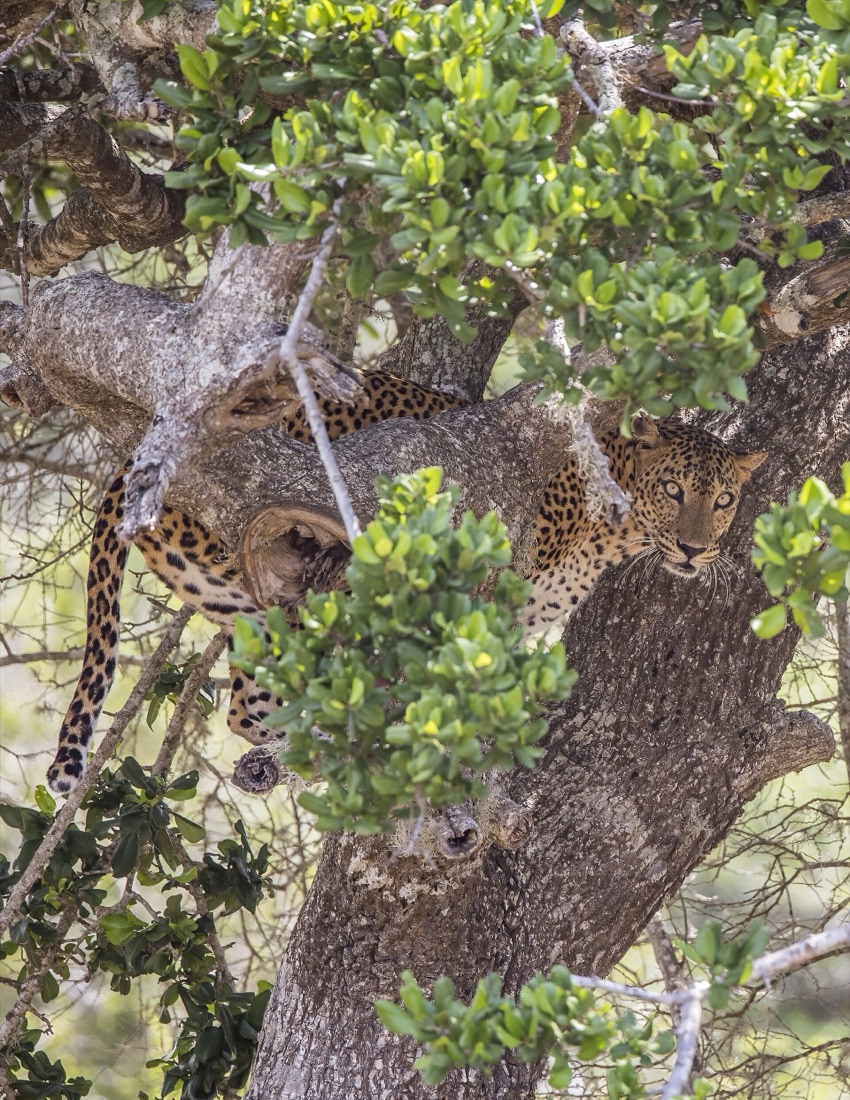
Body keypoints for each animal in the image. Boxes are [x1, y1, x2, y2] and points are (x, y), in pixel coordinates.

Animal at [46, 373, 765, 793]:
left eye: (725, 500)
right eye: (674, 491)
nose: (696, 550)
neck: (613, 530)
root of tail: (135, 456)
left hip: (244, 600)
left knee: (247, 705)